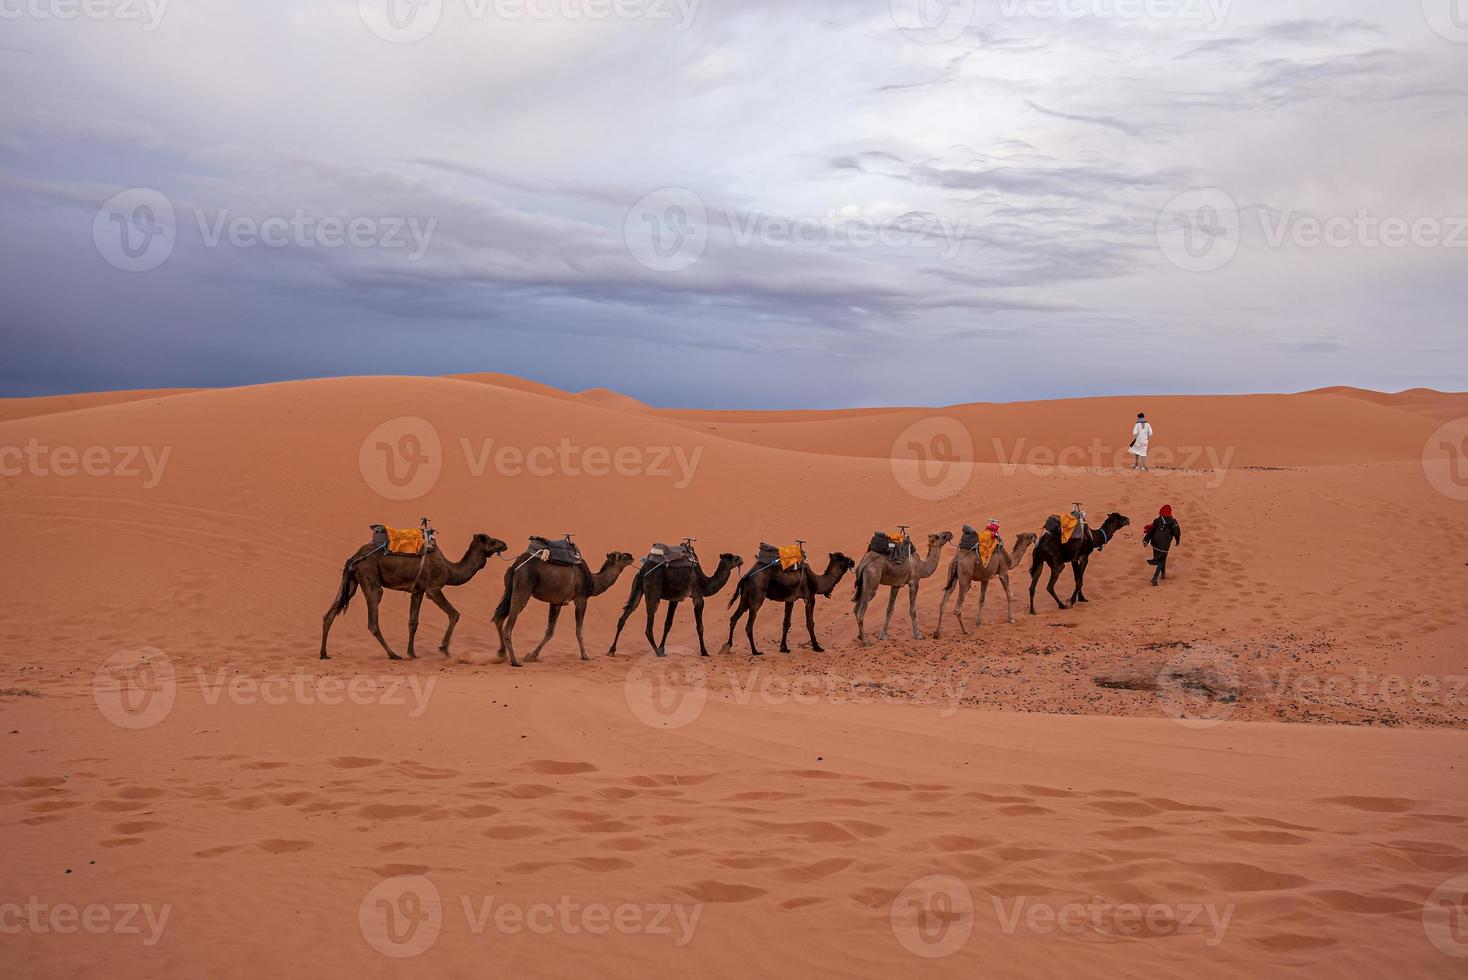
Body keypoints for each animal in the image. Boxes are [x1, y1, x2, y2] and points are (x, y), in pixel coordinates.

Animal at [318, 531, 507, 663]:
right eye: (491, 541)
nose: (504, 544)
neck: (450, 569)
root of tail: (355, 557)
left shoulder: (418, 591)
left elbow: (413, 622)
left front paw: (412, 653)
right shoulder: (433, 589)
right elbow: (454, 614)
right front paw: (444, 649)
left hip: (351, 581)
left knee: (330, 613)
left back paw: (324, 654)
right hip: (369, 575)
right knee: (373, 618)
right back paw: (393, 654)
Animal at [493, 551, 637, 666]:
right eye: (623, 556)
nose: (631, 556)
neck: (593, 582)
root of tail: (516, 565)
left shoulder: (556, 602)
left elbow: (549, 632)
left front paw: (531, 656)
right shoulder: (581, 599)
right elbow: (579, 630)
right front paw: (585, 656)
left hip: (509, 589)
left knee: (498, 617)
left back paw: (501, 654)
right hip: (523, 588)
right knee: (508, 627)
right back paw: (514, 661)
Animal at [607, 551, 745, 657]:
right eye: (734, 557)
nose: (742, 559)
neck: (704, 582)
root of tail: (642, 571)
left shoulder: (675, 599)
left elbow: (668, 624)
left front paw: (663, 648)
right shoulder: (698, 598)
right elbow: (700, 627)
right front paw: (705, 652)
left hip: (637, 589)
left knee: (624, 617)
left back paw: (611, 650)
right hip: (653, 593)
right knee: (648, 627)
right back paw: (657, 652)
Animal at [716, 551, 857, 657]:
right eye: (845, 559)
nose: (853, 561)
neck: (818, 581)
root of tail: (746, 576)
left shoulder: (790, 599)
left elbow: (786, 623)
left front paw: (784, 648)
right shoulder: (810, 598)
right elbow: (810, 623)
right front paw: (817, 647)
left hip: (744, 599)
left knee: (733, 618)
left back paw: (727, 646)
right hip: (757, 599)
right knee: (748, 625)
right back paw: (755, 651)